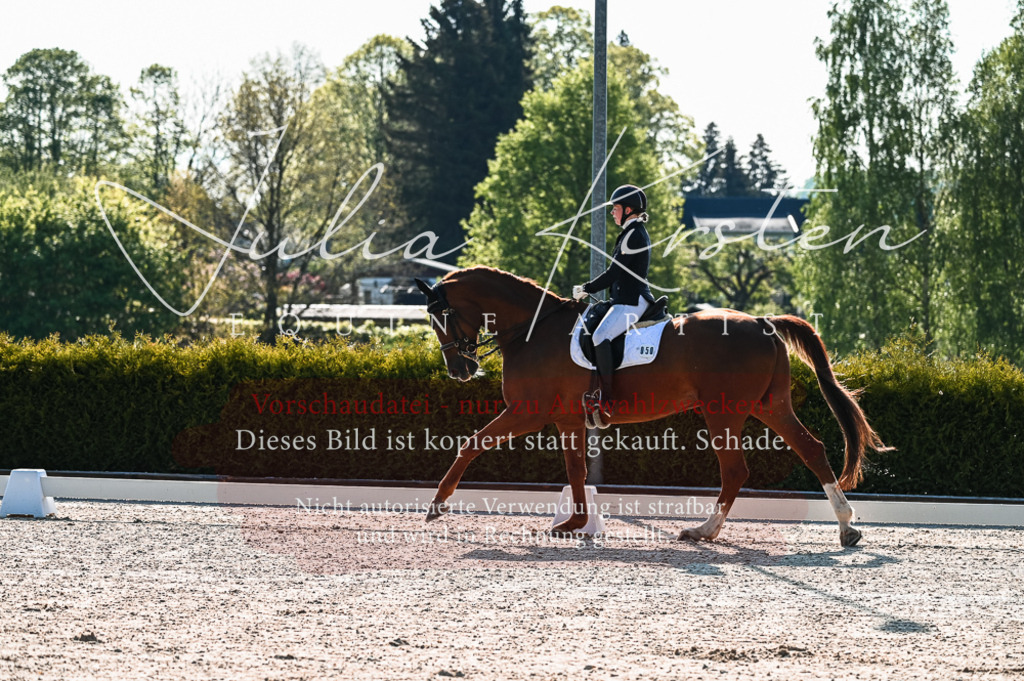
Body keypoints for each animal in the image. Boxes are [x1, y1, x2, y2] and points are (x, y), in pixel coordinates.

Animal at [415, 266, 891, 547]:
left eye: (442, 317)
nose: (460, 369)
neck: (533, 330)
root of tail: (762, 321)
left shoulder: (527, 412)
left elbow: (472, 444)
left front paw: (437, 505)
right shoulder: (566, 417)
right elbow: (576, 470)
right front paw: (573, 525)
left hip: (723, 411)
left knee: (736, 470)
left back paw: (703, 531)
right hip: (769, 405)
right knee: (811, 449)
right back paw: (847, 527)